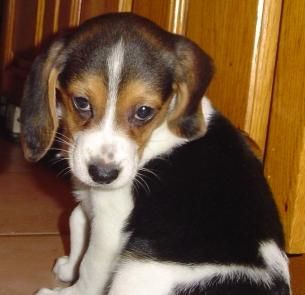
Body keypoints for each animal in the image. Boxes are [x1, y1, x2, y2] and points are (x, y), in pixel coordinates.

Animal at [20, 12, 290, 294]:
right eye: (81, 102)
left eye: (144, 111)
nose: (103, 175)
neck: (157, 133)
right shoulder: (91, 202)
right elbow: (76, 221)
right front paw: (68, 267)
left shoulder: (110, 226)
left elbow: (90, 268)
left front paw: (68, 290)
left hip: (132, 271)